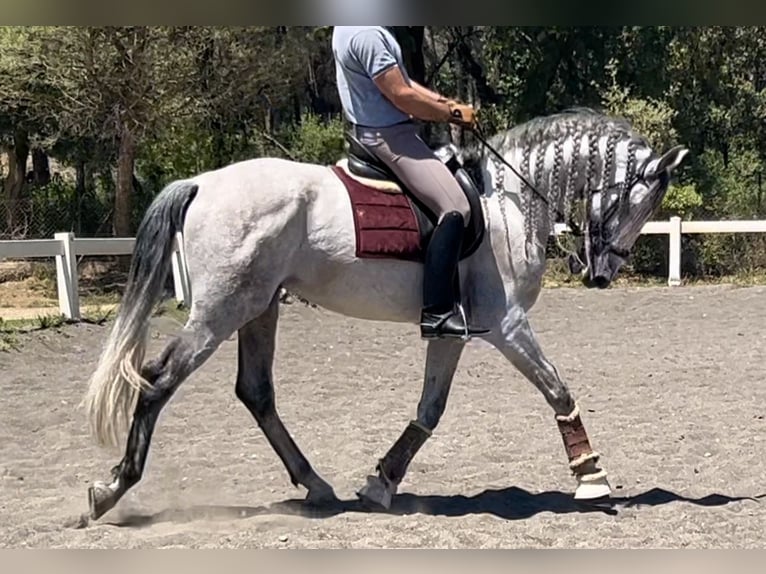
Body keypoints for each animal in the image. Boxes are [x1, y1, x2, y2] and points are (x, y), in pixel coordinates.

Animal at [81, 107, 688, 520]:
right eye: (641, 204)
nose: (601, 274)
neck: (509, 201)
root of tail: (203, 182)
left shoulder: (454, 332)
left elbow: (430, 411)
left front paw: (382, 484)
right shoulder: (509, 326)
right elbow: (558, 391)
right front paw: (593, 478)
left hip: (257, 307)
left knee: (256, 392)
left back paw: (316, 485)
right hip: (220, 310)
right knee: (158, 379)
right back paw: (110, 490)